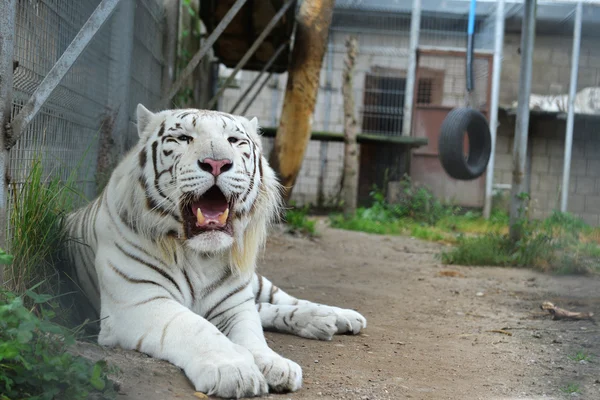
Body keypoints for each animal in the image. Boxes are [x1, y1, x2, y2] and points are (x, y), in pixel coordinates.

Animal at [64, 104, 366, 398]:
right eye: (183, 138)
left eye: (234, 140)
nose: (217, 163)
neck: (199, 255)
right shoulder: (139, 300)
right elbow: (198, 328)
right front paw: (235, 371)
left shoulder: (234, 304)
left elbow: (252, 334)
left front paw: (274, 364)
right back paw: (321, 321)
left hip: (254, 282)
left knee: (279, 299)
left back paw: (337, 316)